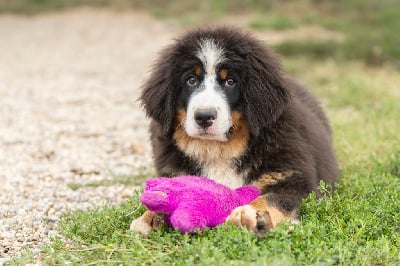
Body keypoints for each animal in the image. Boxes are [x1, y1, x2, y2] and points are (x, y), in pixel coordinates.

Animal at [130, 26, 338, 236]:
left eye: (230, 81)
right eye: (191, 80)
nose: (204, 117)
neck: (220, 149)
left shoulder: (292, 178)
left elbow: (273, 197)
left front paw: (253, 214)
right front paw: (149, 217)